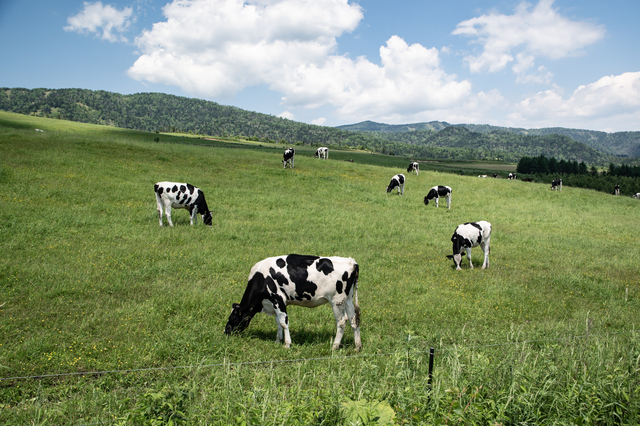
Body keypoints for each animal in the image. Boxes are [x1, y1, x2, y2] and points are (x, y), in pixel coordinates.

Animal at [225, 255, 360, 352]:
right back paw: (357, 346)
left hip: (336, 300)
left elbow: (283, 323)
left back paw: (335, 346)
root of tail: (351, 261)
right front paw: (277, 341)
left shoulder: (278, 299)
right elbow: (278, 322)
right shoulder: (274, 303)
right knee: (353, 319)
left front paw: (287, 344)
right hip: (348, 299)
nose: (225, 331)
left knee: (341, 322)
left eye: (233, 317)